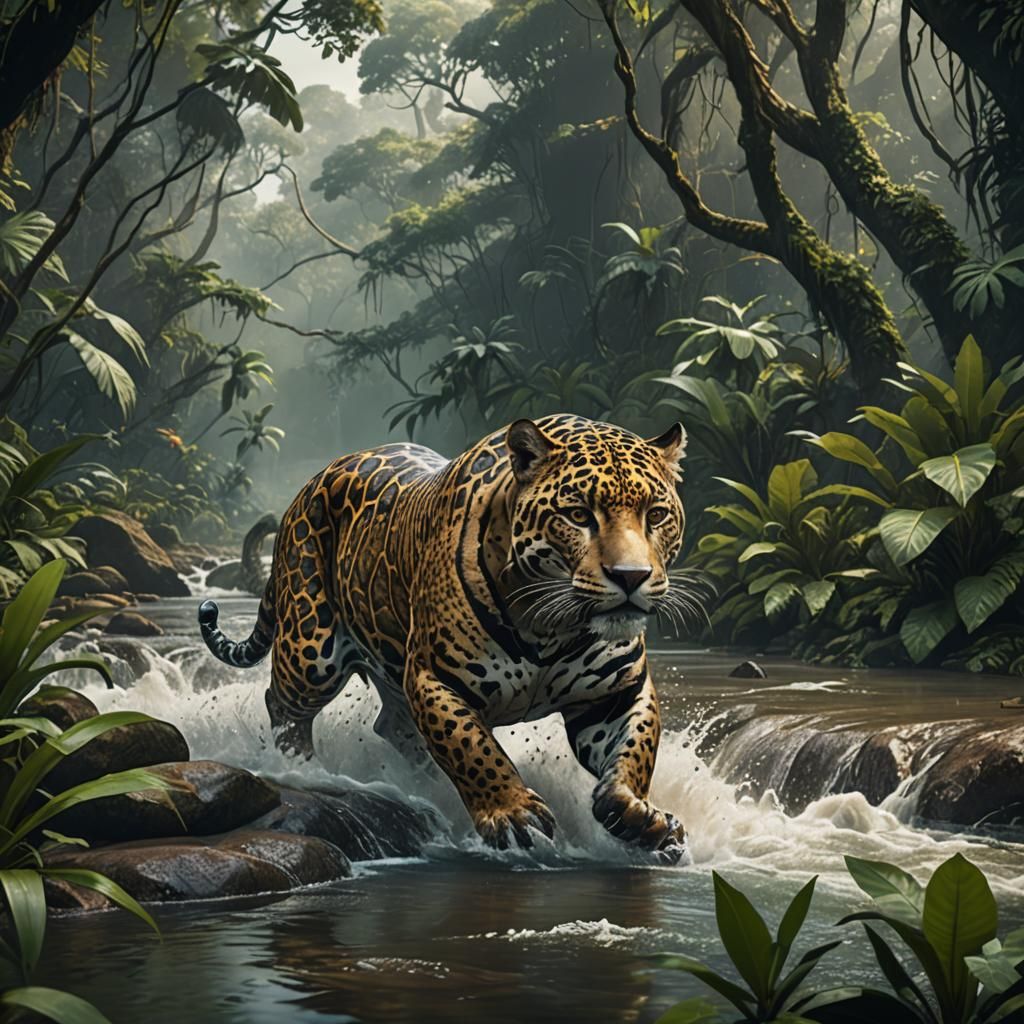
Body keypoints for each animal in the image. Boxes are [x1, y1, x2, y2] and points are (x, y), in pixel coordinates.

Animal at [198, 414, 707, 862]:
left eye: (656, 515)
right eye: (579, 515)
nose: (632, 576)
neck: (549, 627)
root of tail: (308, 487)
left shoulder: (617, 692)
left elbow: (635, 750)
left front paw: (641, 817)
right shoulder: (435, 679)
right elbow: (472, 747)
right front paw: (513, 814)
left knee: (393, 726)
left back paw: (422, 784)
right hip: (311, 649)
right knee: (284, 704)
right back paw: (301, 766)